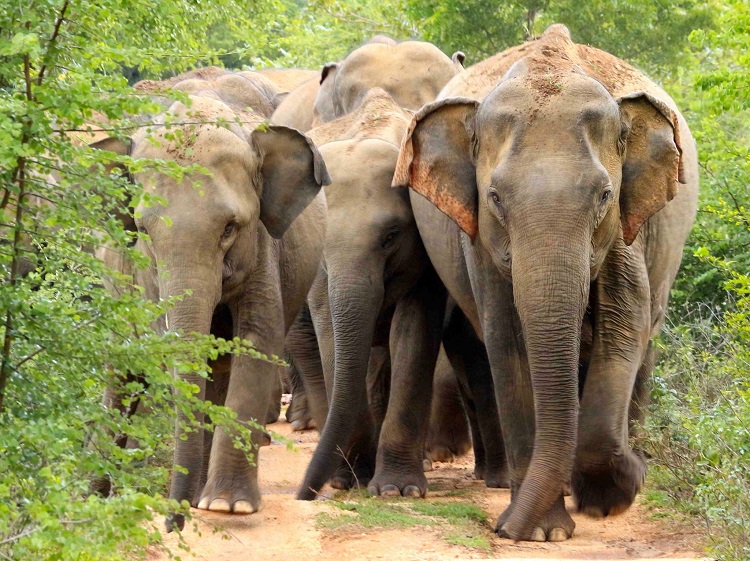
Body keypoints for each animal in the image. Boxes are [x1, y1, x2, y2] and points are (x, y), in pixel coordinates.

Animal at [94, 68, 328, 528]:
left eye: (230, 229)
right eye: (143, 230)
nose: (173, 520)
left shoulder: (263, 246)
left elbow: (256, 340)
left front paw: (227, 506)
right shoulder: (145, 273)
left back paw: (202, 495)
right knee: (121, 372)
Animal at [296, 89, 508, 500]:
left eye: (391, 237)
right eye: (322, 234)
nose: (303, 494)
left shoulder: (424, 260)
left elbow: (413, 336)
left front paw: (397, 489)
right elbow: (332, 340)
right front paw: (349, 479)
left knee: (472, 361)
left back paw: (495, 478)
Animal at [396, 24, 704, 540]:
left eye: (604, 195)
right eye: (495, 197)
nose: (502, 532)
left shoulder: (626, 229)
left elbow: (625, 324)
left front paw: (616, 491)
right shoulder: (480, 242)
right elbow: (507, 340)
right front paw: (543, 531)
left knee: (646, 344)